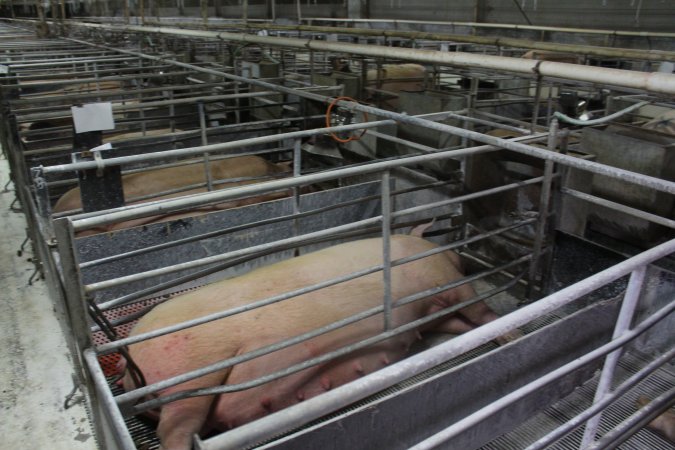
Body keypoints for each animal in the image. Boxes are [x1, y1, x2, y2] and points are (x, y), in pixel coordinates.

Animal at [121, 234, 520, 448]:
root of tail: (129, 368)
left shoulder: (435, 305)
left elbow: (466, 321)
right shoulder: (443, 280)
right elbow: (479, 309)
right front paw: (510, 332)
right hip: (190, 375)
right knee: (174, 430)